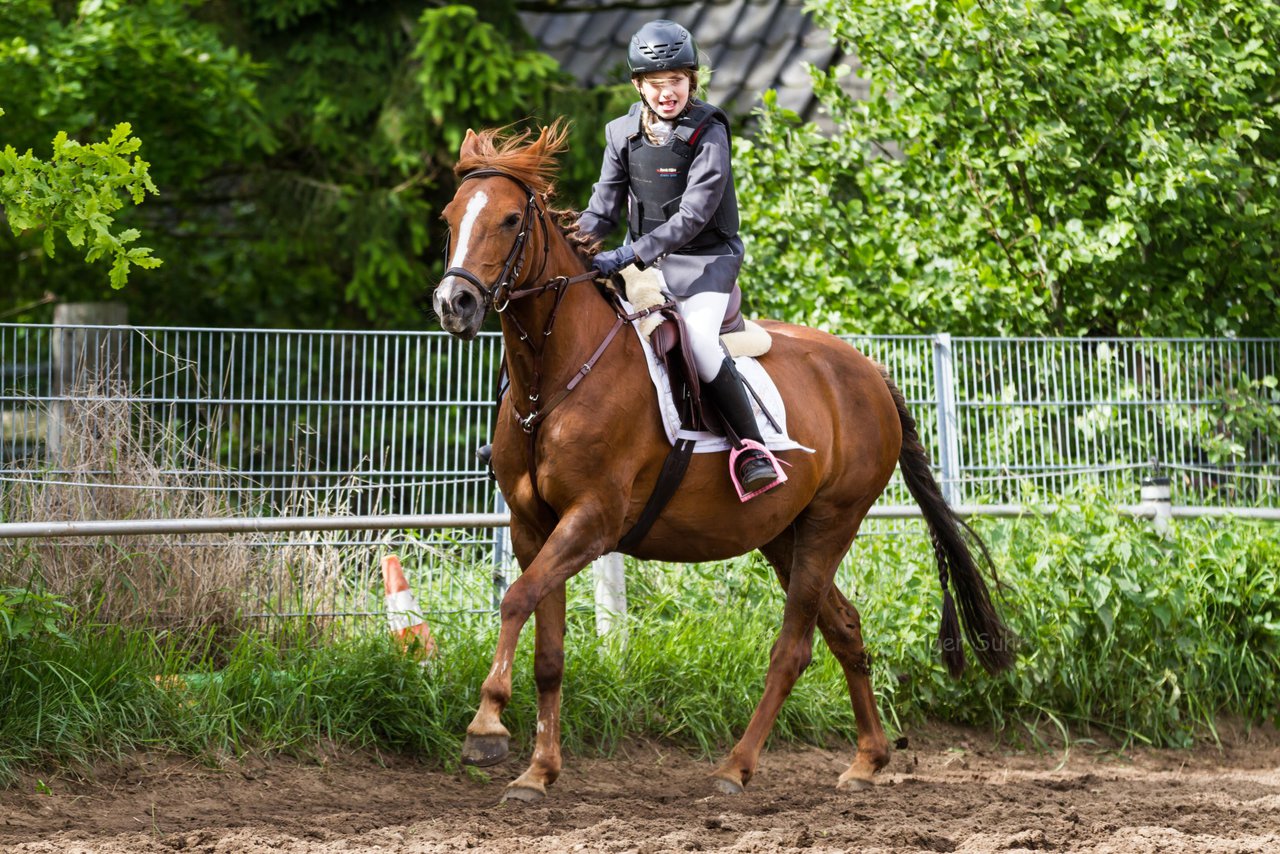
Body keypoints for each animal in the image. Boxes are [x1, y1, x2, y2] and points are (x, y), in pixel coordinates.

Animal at [435, 123, 1013, 804]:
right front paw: (537, 772)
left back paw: (735, 767)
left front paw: (486, 727)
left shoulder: (591, 522)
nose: (454, 303)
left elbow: (515, 601)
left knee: (793, 648)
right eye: (450, 218)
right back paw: (868, 759)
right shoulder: (533, 528)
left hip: (832, 522)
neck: (552, 381)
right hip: (783, 534)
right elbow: (546, 648)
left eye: (506, 220)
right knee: (844, 627)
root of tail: (868, 370)